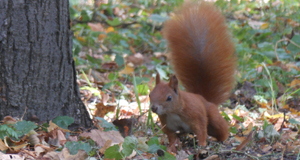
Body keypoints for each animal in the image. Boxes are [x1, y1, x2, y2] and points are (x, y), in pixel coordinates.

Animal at [149, 1, 236, 152]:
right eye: (150, 95)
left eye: (169, 98)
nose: (154, 108)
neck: (173, 112)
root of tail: (204, 98)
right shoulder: (167, 124)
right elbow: (171, 137)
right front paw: (171, 148)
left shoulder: (196, 115)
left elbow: (201, 130)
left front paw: (201, 145)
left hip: (213, 116)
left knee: (220, 128)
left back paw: (223, 139)